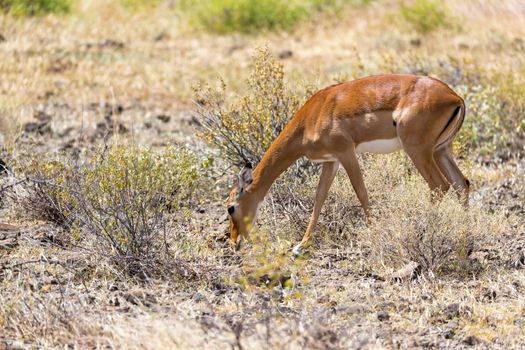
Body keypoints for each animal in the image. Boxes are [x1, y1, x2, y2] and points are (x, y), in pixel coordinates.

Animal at [227, 74, 468, 254]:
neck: (311, 118)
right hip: (441, 151)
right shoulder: (330, 161)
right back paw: (463, 240)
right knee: (462, 184)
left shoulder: (346, 153)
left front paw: (374, 234)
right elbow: (319, 199)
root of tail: (455, 97)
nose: (233, 242)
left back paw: (425, 233)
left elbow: (361, 192)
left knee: (439, 185)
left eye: (231, 207)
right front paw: (300, 246)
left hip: (418, 150)